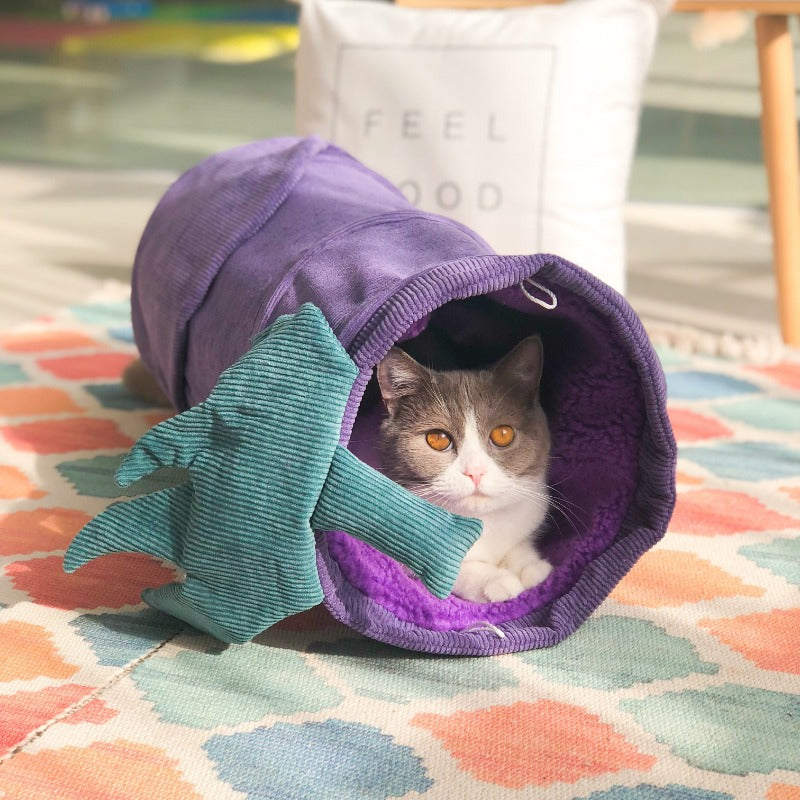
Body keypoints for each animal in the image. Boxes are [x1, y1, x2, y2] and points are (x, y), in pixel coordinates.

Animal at [378, 334, 552, 604]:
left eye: (503, 434)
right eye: (438, 438)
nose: (475, 472)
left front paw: (529, 566)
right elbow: (450, 572)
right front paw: (498, 580)